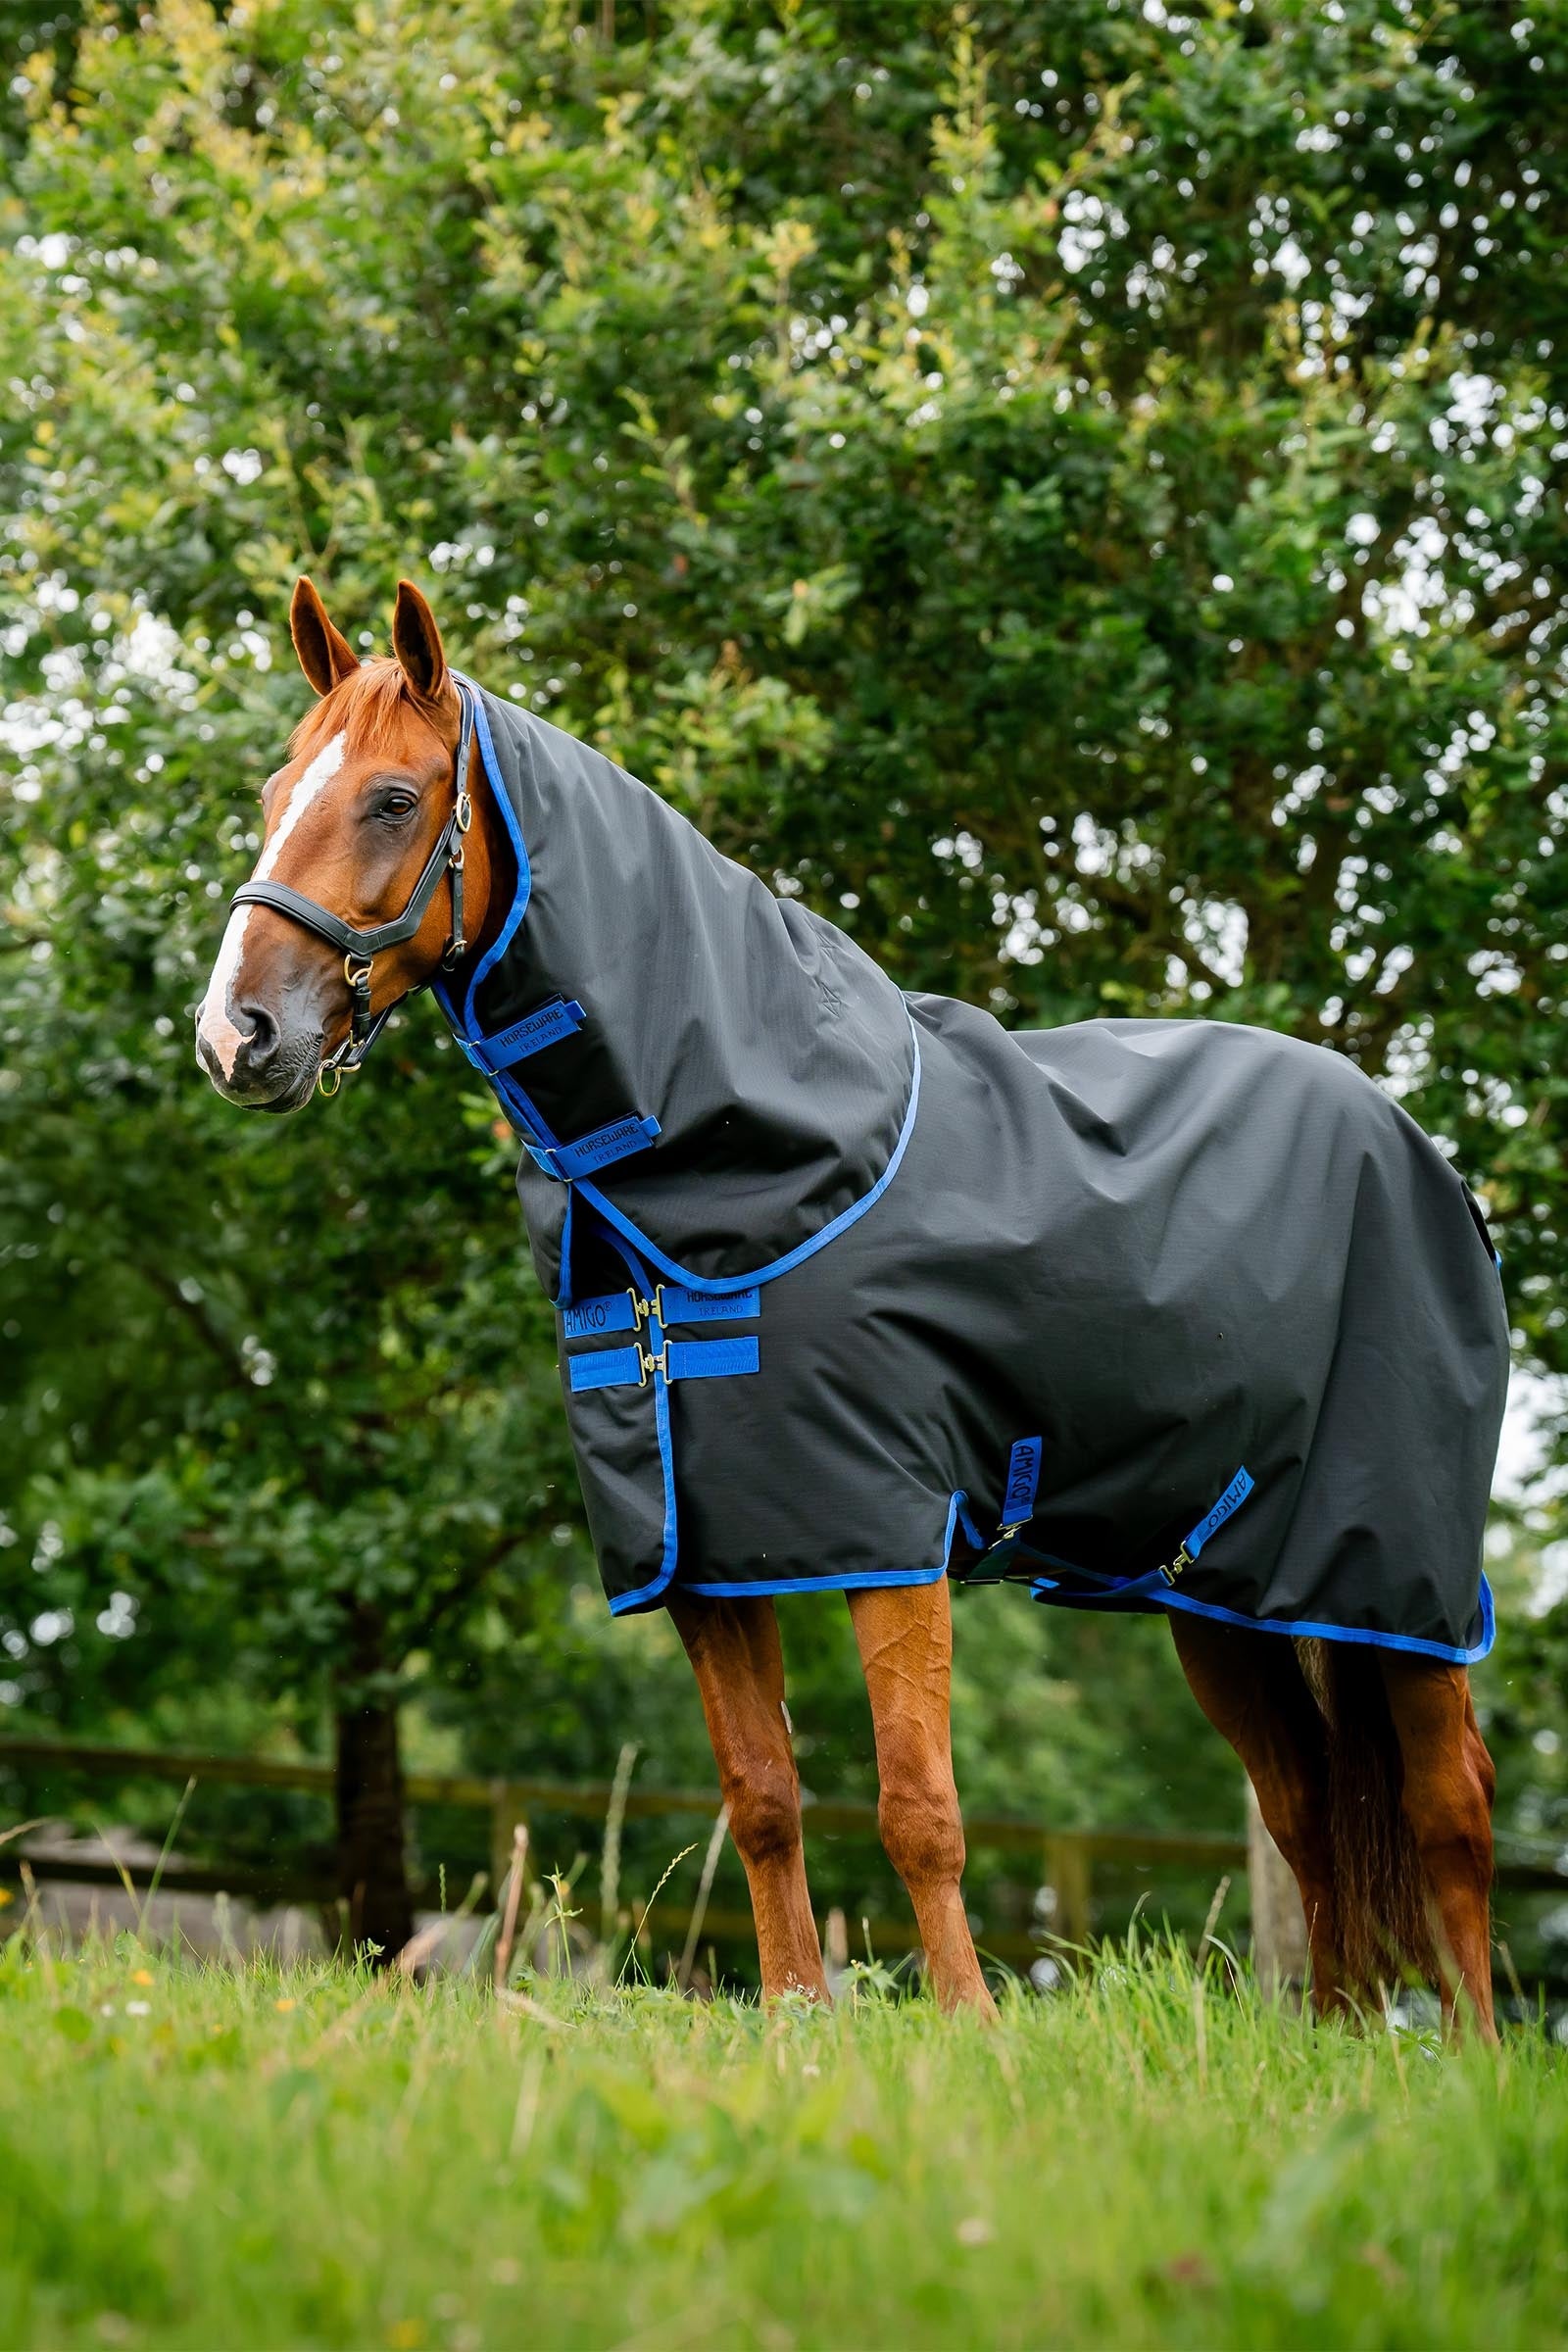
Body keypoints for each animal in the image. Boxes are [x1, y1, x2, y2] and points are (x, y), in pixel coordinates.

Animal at [195, 576, 1505, 2035]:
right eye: (274, 792)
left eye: (389, 799)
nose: (236, 1035)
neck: (749, 1144)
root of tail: (1420, 1150)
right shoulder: (705, 1549)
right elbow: (763, 1799)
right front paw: (798, 2020)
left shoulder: (886, 1528)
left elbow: (918, 1806)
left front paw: (967, 2025)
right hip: (1230, 1594)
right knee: (1306, 1805)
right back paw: (1340, 2032)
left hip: (1395, 1573)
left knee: (1447, 1808)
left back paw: (1472, 2050)